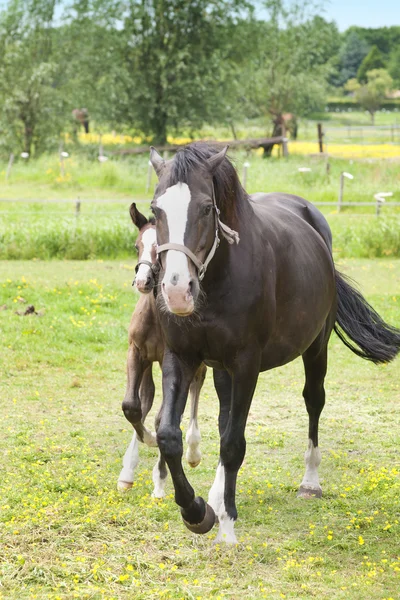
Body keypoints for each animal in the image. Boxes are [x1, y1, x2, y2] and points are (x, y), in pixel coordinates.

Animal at [123, 142, 398, 544]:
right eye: (157, 209)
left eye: (206, 208)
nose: (175, 291)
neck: (217, 281)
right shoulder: (181, 356)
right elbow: (169, 434)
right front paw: (197, 511)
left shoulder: (246, 364)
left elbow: (233, 443)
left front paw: (226, 525)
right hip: (220, 368)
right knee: (224, 418)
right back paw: (216, 497)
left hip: (315, 348)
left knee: (313, 402)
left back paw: (309, 483)